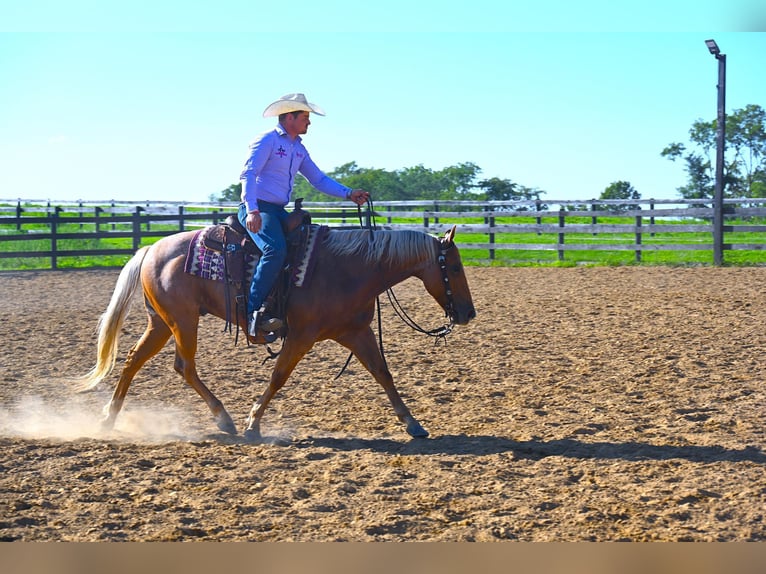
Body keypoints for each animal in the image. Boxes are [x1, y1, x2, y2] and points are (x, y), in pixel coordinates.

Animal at [78, 225, 474, 440]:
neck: (349, 269)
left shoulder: (355, 332)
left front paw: (413, 424)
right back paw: (224, 418)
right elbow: (279, 375)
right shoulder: (301, 336)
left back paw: (109, 418)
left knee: (134, 360)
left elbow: (383, 373)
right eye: (454, 267)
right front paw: (254, 423)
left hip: (161, 322)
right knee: (184, 366)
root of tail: (150, 250)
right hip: (182, 320)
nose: (468, 313)